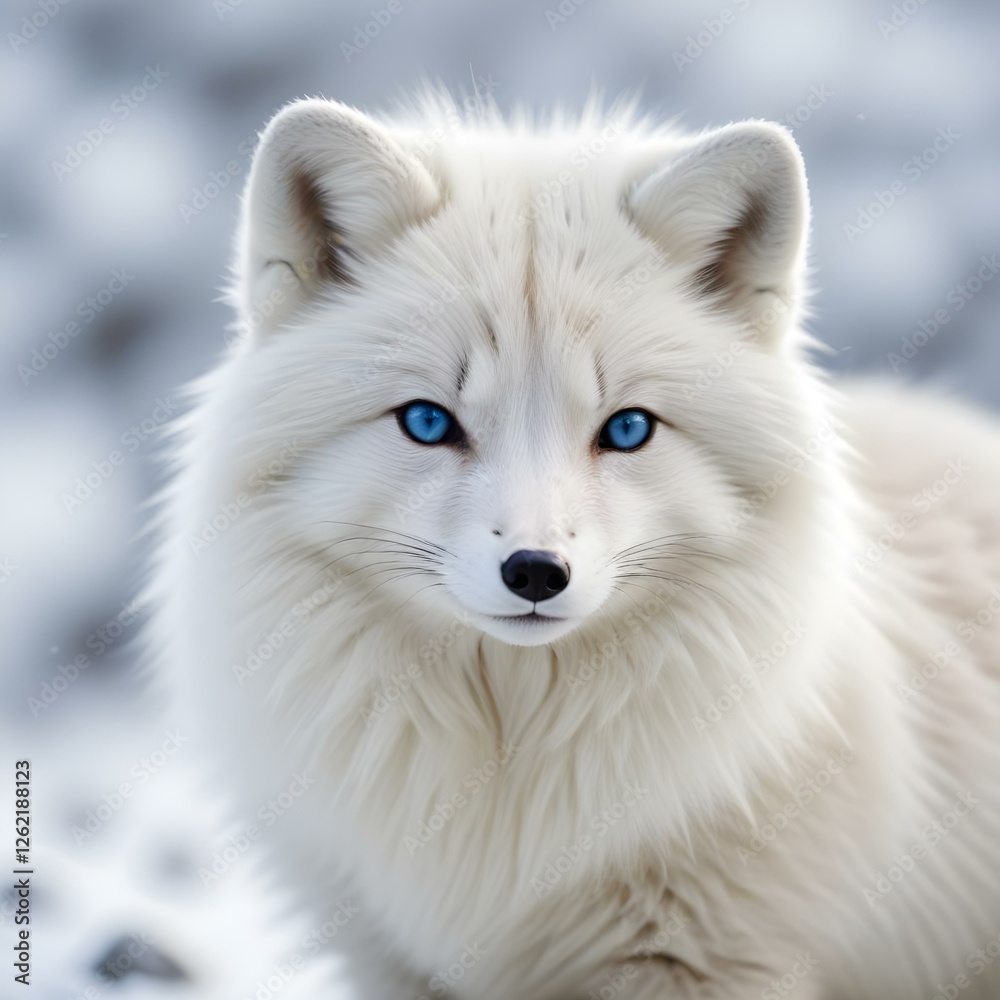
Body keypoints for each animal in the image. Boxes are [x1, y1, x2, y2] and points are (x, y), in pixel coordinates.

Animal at [152, 92, 1000, 998]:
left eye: (626, 430)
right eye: (428, 422)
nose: (535, 571)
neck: (507, 790)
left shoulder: (703, 962)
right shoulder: (392, 961)